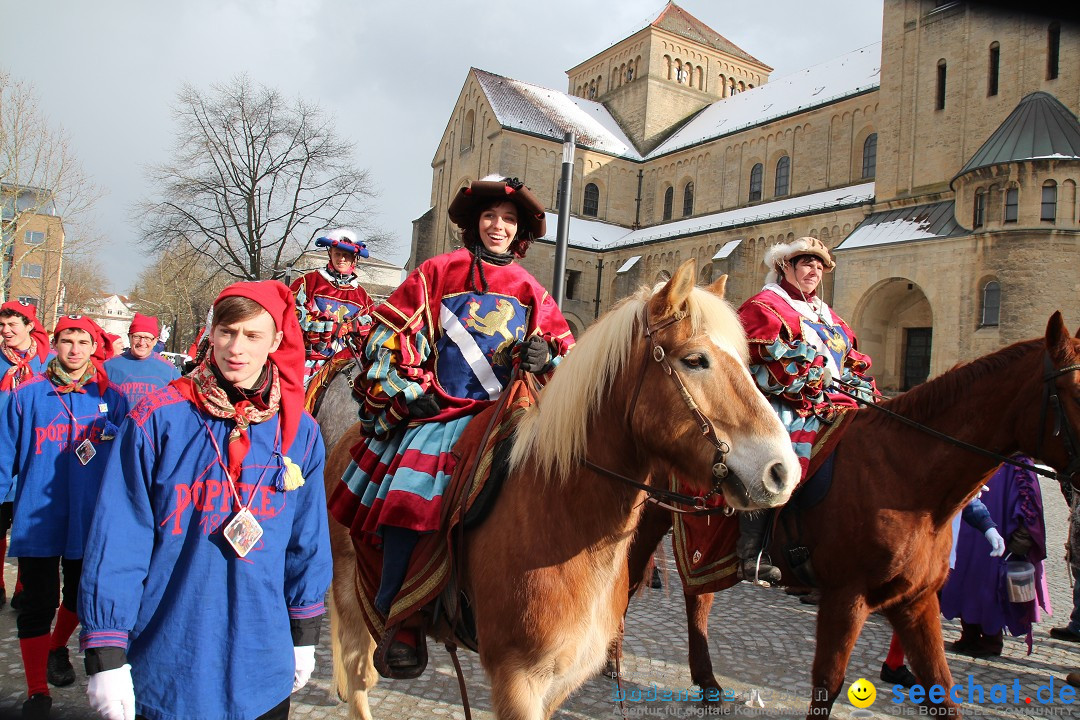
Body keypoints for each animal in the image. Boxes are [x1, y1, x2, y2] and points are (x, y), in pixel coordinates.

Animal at [319, 260, 803, 720]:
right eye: (696, 360)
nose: (782, 472)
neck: (562, 517)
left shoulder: (564, 678)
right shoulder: (517, 678)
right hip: (351, 588)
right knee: (358, 670)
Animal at [622, 315, 1080, 720]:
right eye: (1074, 389)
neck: (904, 472)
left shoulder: (915, 600)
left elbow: (941, 688)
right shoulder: (847, 598)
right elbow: (829, 683)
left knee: (697, 596)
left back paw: (708, 683)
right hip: (646, 520)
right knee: (628, 581)